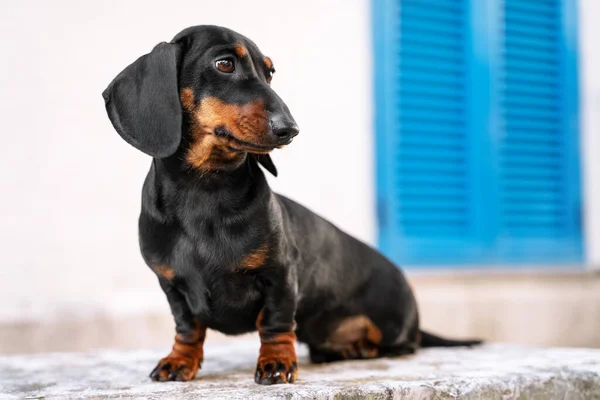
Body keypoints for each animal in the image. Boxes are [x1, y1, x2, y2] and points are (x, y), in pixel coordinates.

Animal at [102, 25, 478, 384]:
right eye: (224, 64)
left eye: (270, 73)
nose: (290, 129)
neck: (204, 190)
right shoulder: (172, 287)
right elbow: (187, 328)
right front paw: (179, 361)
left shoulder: (280, 275)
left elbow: (275, 323)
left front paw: (276, 362)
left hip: (391, 327)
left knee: (402, 344)